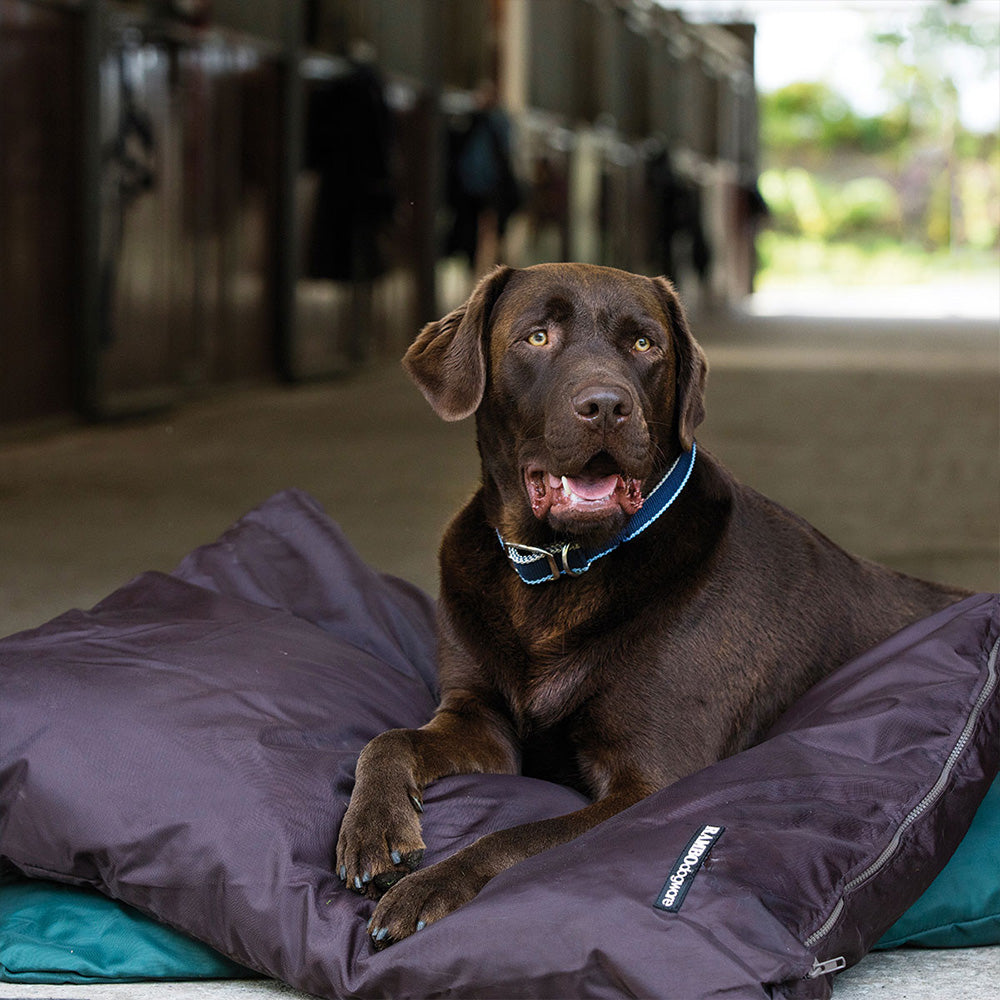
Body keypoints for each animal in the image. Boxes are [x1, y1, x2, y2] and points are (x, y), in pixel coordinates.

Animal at [338, 262, 968, 948]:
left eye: (644, 344)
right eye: (537, 337)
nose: (606, 406)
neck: (561, 567)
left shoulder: (648, 782)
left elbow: (517, 837)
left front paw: (424, 889)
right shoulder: (477, 718)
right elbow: (387, 740)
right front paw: (372, 832)